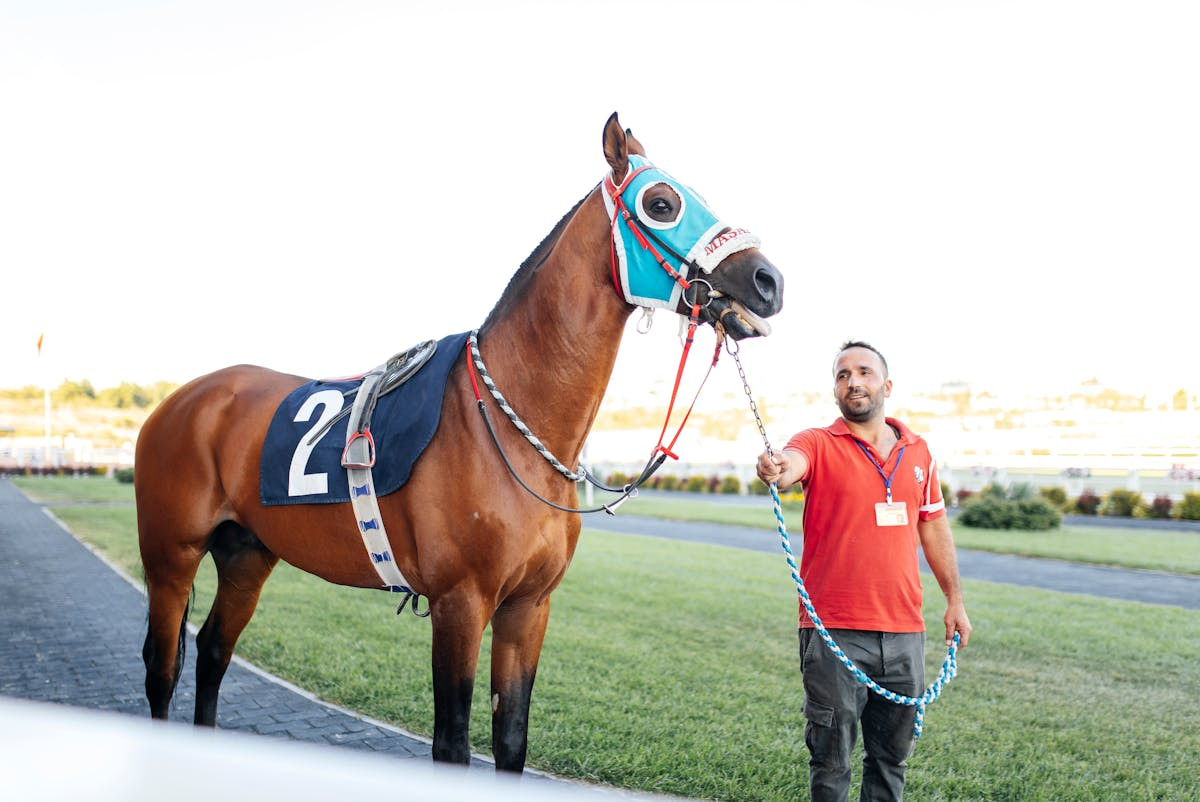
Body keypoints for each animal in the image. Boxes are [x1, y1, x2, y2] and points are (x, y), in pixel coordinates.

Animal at [136, 112, 782, 768]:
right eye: (661, 204)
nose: (768, 280)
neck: (511, 426)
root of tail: (183, 399)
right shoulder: (460, 602)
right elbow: (452, 742)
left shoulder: (528, 608)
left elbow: (511, 737)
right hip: (171, 556)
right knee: (161, 668)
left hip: (247, 552)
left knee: (213, 651)